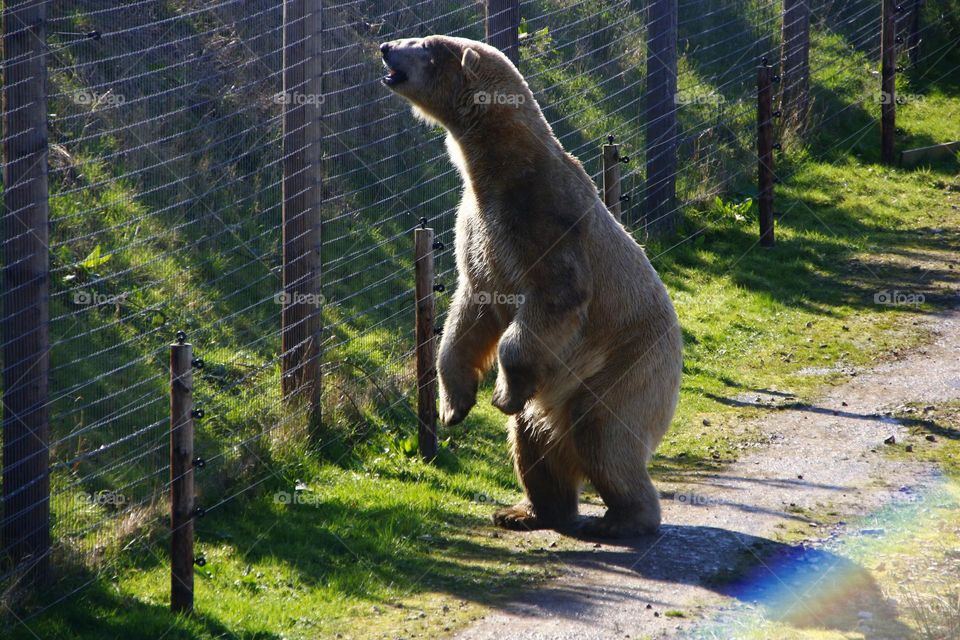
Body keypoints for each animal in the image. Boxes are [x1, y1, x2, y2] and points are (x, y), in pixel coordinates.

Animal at [381, 35, 682, 537]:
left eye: (422, 44)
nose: (385, 46)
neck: (500, 169)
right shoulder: (477, 227)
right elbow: (471, 307)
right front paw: (453, 406)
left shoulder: (545, 219)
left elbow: (552, 299)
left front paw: (500, 393)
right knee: (533, 440)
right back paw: (526, 510)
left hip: (629, 364)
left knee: (602, 433)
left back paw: (624, 518)